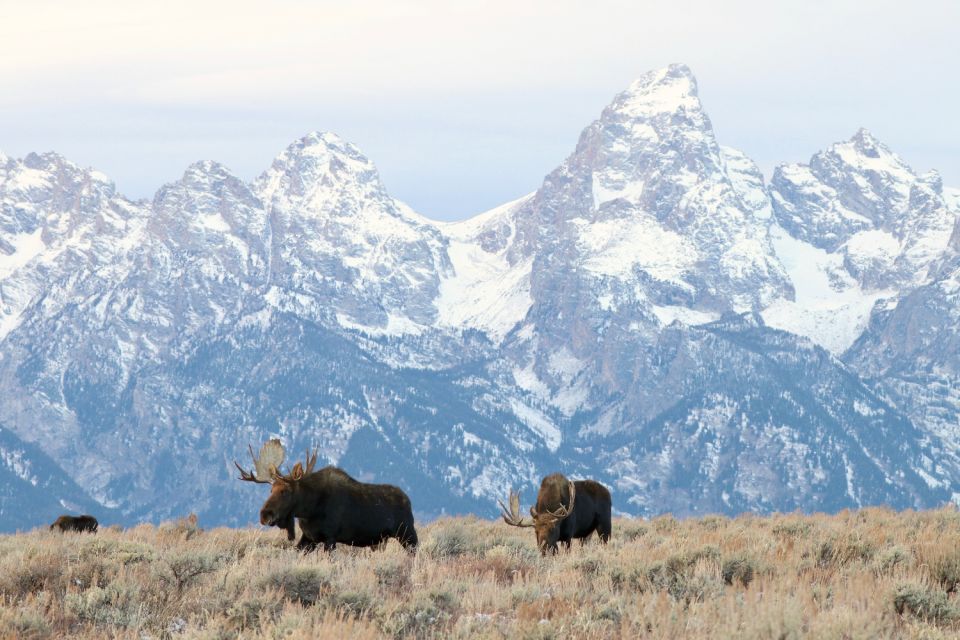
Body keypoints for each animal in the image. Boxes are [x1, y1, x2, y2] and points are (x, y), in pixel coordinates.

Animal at [235, 438, 416, 552]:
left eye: (285, 491)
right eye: (270, 490)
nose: (265, 515)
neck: (308, 510)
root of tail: (408, 500)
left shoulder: (330, 537)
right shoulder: (308, 538)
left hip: (407, 534)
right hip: (381, 540)